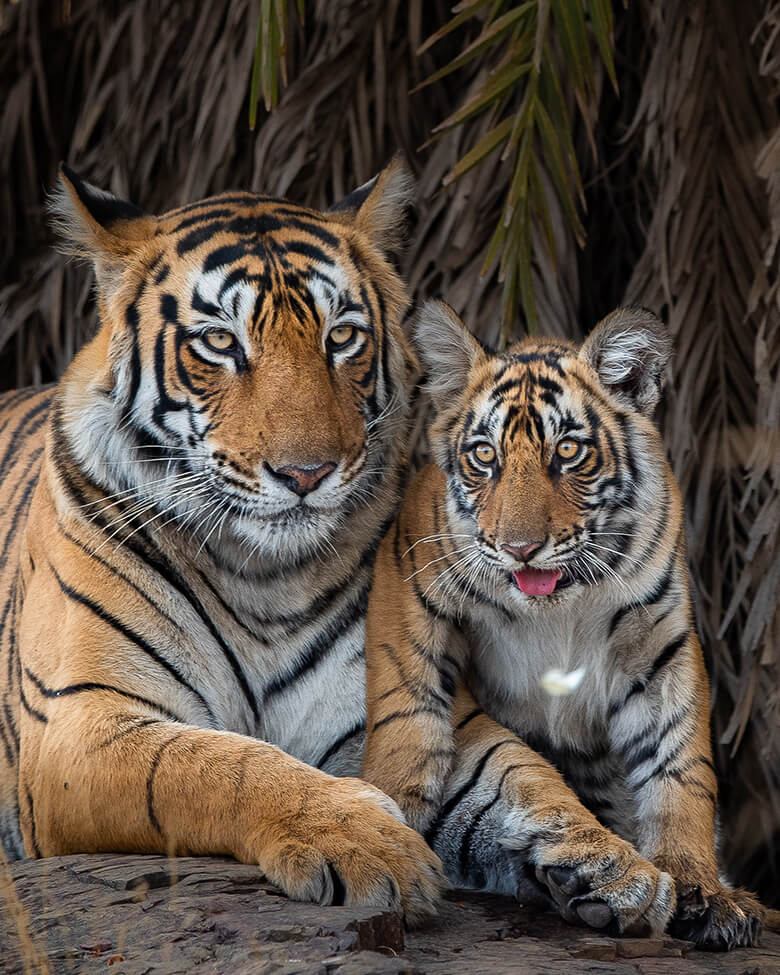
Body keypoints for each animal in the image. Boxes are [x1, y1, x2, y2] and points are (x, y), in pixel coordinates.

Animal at [0, 162, 448, 924]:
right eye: (219, 342)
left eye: (342, 337)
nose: (307, 473)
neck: (263, 574)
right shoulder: (80, 722)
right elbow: (216, 766)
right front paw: (367, 841)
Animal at [362, 302, 764, 948]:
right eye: (484, 456)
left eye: (569, 452)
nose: (520, 549)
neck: (559, 604)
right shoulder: (407, 568)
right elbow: (406, 697)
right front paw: (394, 802)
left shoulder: (661, 647)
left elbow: (681, 771)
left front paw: (703, 888)